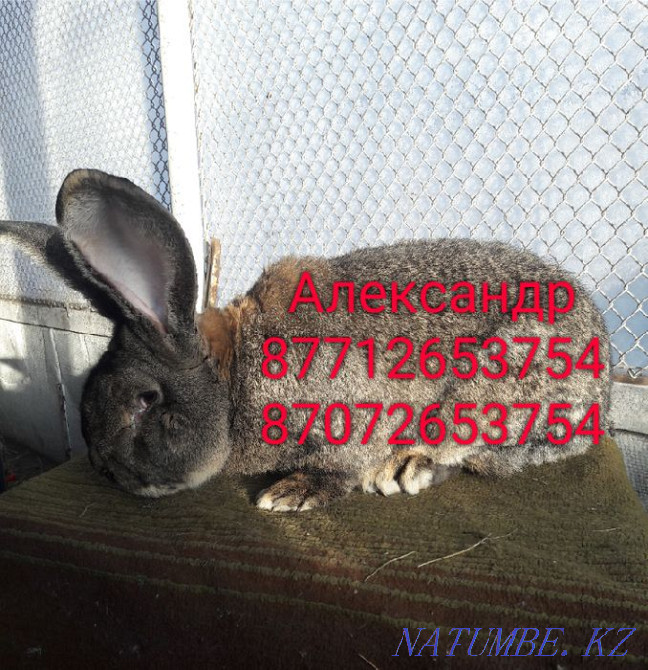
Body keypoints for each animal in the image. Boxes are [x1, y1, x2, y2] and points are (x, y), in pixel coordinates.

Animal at [1, 169, 610, 511]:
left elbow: (340, 465)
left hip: (498, 386)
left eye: (145, 401)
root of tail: (601, 391)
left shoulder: (348, 418)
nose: (108, 472)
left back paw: (406, 470)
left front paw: (291, 494)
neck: (236, 379)